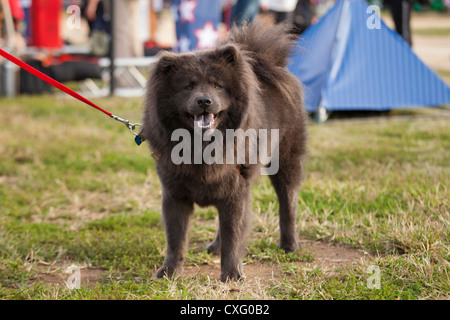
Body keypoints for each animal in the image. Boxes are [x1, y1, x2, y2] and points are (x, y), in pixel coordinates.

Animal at [141, 21, 308, 282]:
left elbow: (233, 236)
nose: (204, 100)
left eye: (217, 85)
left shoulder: (234, 190)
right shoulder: (175, 194)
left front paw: (231, 273)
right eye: (188, 86)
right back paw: (214, 247)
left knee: (288, 203)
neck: (200, 147)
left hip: (285, 161)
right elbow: (176, 239)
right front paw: (169, 272)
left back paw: (289, 245)